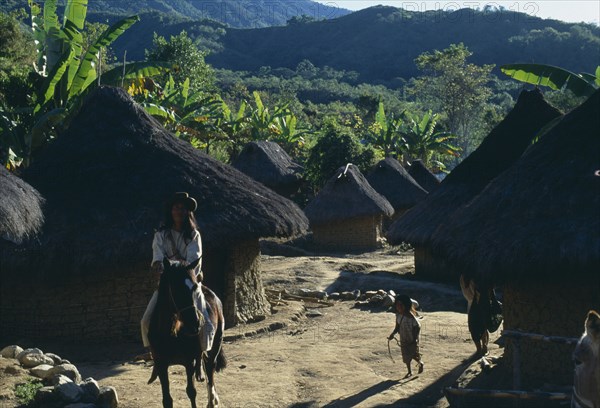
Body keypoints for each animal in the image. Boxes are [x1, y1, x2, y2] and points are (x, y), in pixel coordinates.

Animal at [148, 260, 227, 406]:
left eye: (194, 287)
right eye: (176, 288)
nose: (196, 322)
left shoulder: (189, 362)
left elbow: (191, 392)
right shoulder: (161, 364)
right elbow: (167, 399)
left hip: (216, 343)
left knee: (210, 368)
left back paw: (212, 401)